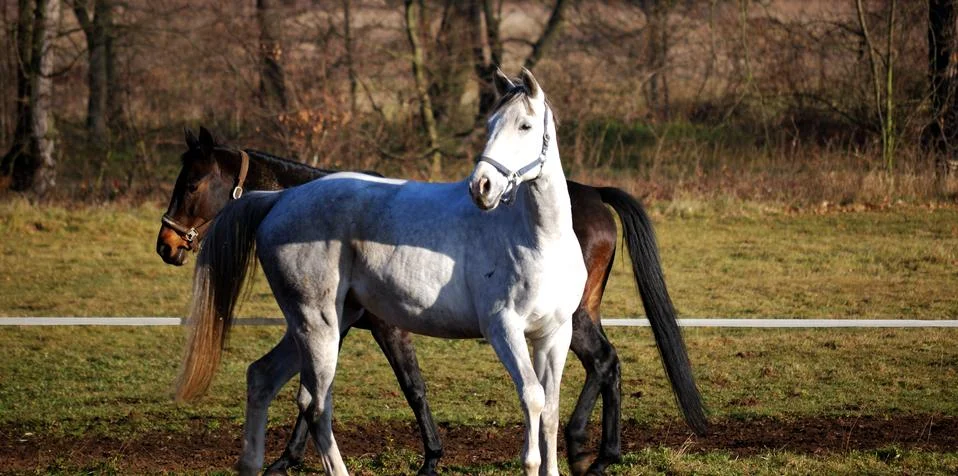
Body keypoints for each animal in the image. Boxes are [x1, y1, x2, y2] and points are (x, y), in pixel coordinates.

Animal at [159, 103, 706, 476]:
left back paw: (588, 448)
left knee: (605, 362)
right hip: (315, 325)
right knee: (270, 379)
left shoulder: (383, 329)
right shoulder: (355, 328)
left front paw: (430, 458)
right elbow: (350, 394)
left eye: (190, 185)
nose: (166, 244)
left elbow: (409, 388)